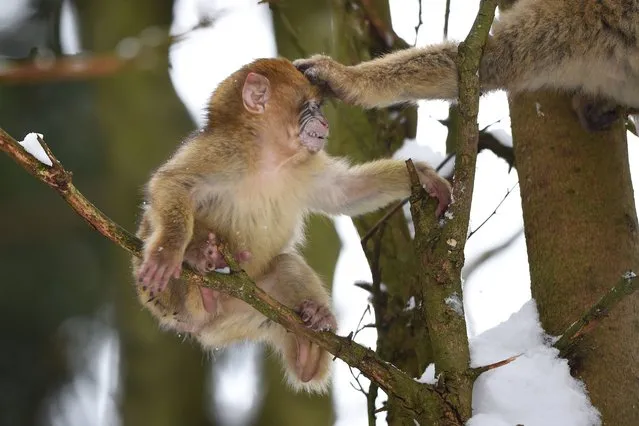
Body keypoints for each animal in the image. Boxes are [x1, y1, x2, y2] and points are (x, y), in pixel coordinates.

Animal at [131, 57, 450, 392]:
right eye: (311, 107)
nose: (325, 124)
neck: (270, 158)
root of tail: (202, 326)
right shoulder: (222, 151)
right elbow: (172, 183)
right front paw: (167, 252)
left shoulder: (304, 165)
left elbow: (345, 192)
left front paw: (424, 176)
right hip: (171, 302)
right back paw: (200, 261)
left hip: (242, 315)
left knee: (286, 266)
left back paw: (307, 349)